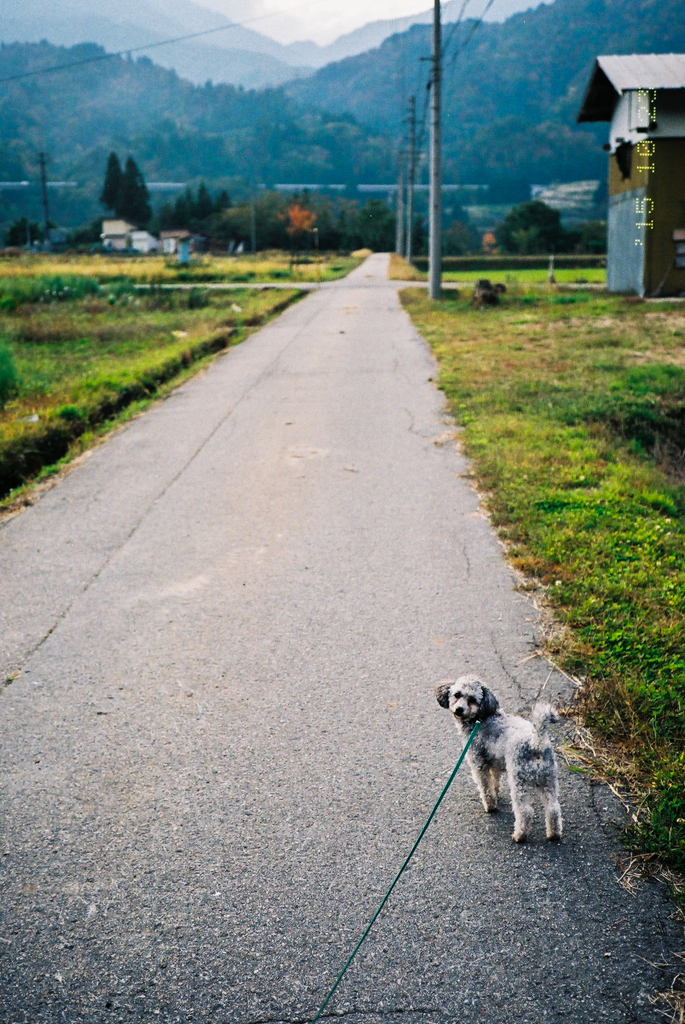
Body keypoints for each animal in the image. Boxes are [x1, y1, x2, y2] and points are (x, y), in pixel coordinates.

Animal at [438, 671, 561, 839]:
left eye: (472, 700)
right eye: (457, 694)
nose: (459, 709)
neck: (481, 718)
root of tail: (536, 742)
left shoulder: (478, 764)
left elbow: (485, 788)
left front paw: (490, 806)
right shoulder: (494, 764)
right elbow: (494, 782)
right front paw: (496, 795)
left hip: (518, 780)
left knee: (525, 811)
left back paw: (519, 836)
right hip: (549, 779)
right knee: (553, 808)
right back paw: (553, 834)